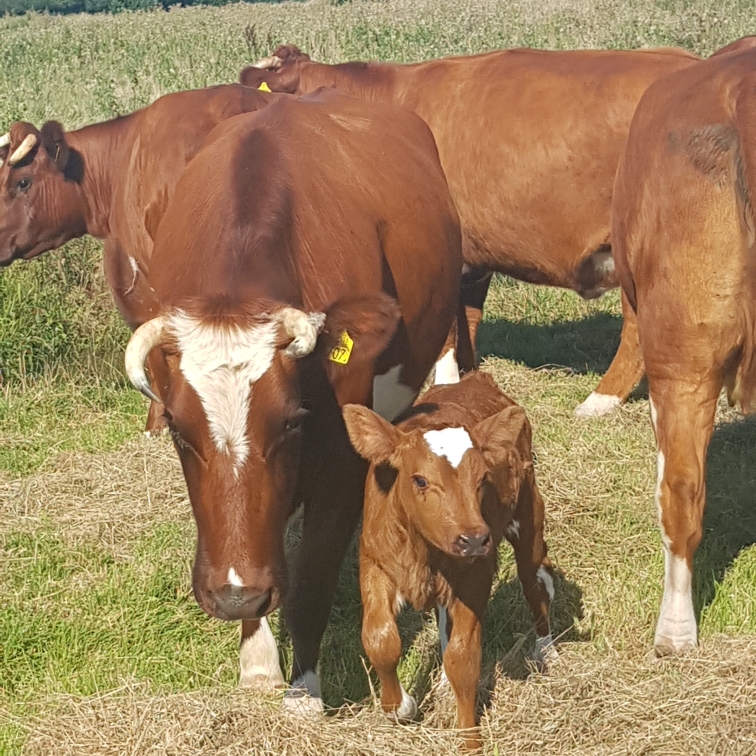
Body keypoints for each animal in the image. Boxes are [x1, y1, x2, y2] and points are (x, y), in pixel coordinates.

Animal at [122, 87, 464, 708]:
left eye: (291, 422)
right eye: (180, 430)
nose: (233, 595)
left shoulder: (341, 466)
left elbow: (310, 585)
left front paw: (304, 691)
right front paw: (258, 663)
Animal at [239, 44, 700, 416]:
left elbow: (446, 323)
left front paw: (443, 382)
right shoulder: (473, 252)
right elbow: (470, 315)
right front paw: (468, 374)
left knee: (636, 330)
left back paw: (598, 402)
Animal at [344, 370, 556, 748]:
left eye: (483, 478)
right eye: (420, 480)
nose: (472, 539)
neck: (423, 553)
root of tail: (474, 379)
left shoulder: (475, 576)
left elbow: (464, 658)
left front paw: (470, 738)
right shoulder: (374, 561)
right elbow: (380, 638)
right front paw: (400, 707)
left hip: (529, 516)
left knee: (535, 582)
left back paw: (547, 649)